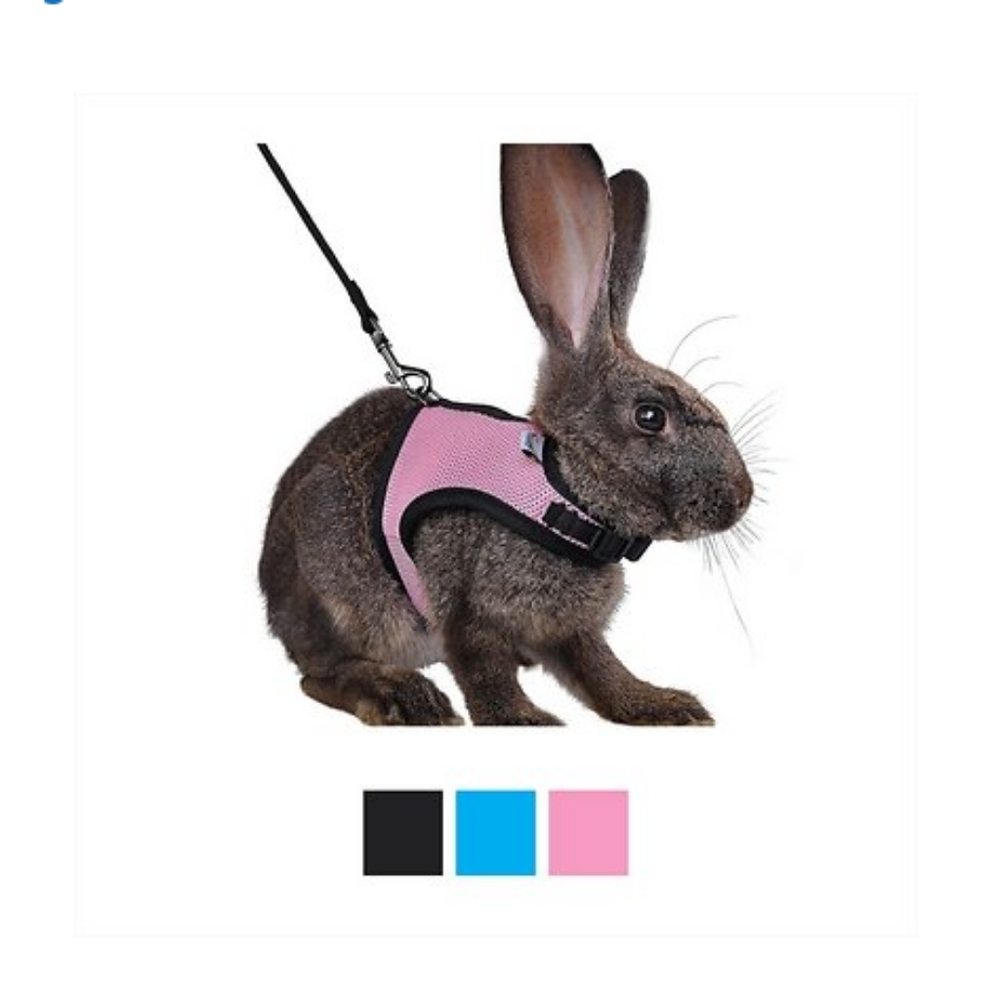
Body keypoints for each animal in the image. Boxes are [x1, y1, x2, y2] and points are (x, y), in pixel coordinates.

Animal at [258, 143, 753, 726]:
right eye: (651, 416)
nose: (742, 497)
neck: (563, 496)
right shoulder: (465, 606)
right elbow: (483, 668)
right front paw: (526, 722)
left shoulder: (572, 631)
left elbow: (601, 670)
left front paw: (664, 706)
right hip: (339, 578)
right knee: (320, 673)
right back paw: (405, 698)